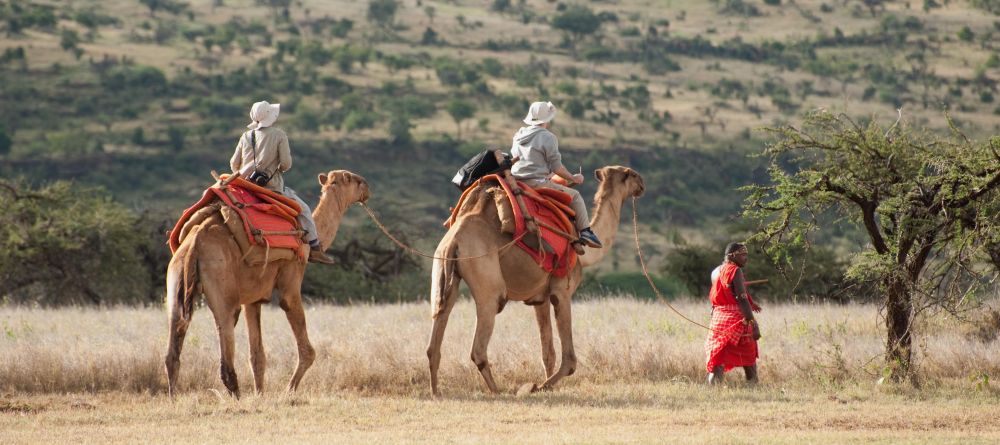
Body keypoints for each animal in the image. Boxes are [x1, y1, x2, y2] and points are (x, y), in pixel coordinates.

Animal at [164, 170, 369, 398]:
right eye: (354, 180)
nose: (367, 187)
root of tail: (194, 243)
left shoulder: (252, 298)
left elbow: (257, 356)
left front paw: (260, 394)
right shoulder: (291, 278)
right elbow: (307, 351)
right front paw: (288, 391)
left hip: (175, 278)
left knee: (174, 343)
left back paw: (174, 398)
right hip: (221, 283)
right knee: (225, 346)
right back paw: (237, 398)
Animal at [427, 165, 645, 395]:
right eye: (630, 174)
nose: (642, 184)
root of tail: (455, 240)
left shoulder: (540, 298)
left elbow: (547, 352)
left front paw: (544, 385)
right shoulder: (561, 291)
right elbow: (569, 361)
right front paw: (539, 386)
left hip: (442, 264)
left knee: (437, 327)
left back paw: (436, 391)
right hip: (486, 278)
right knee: (479, 343)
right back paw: (498, 391)